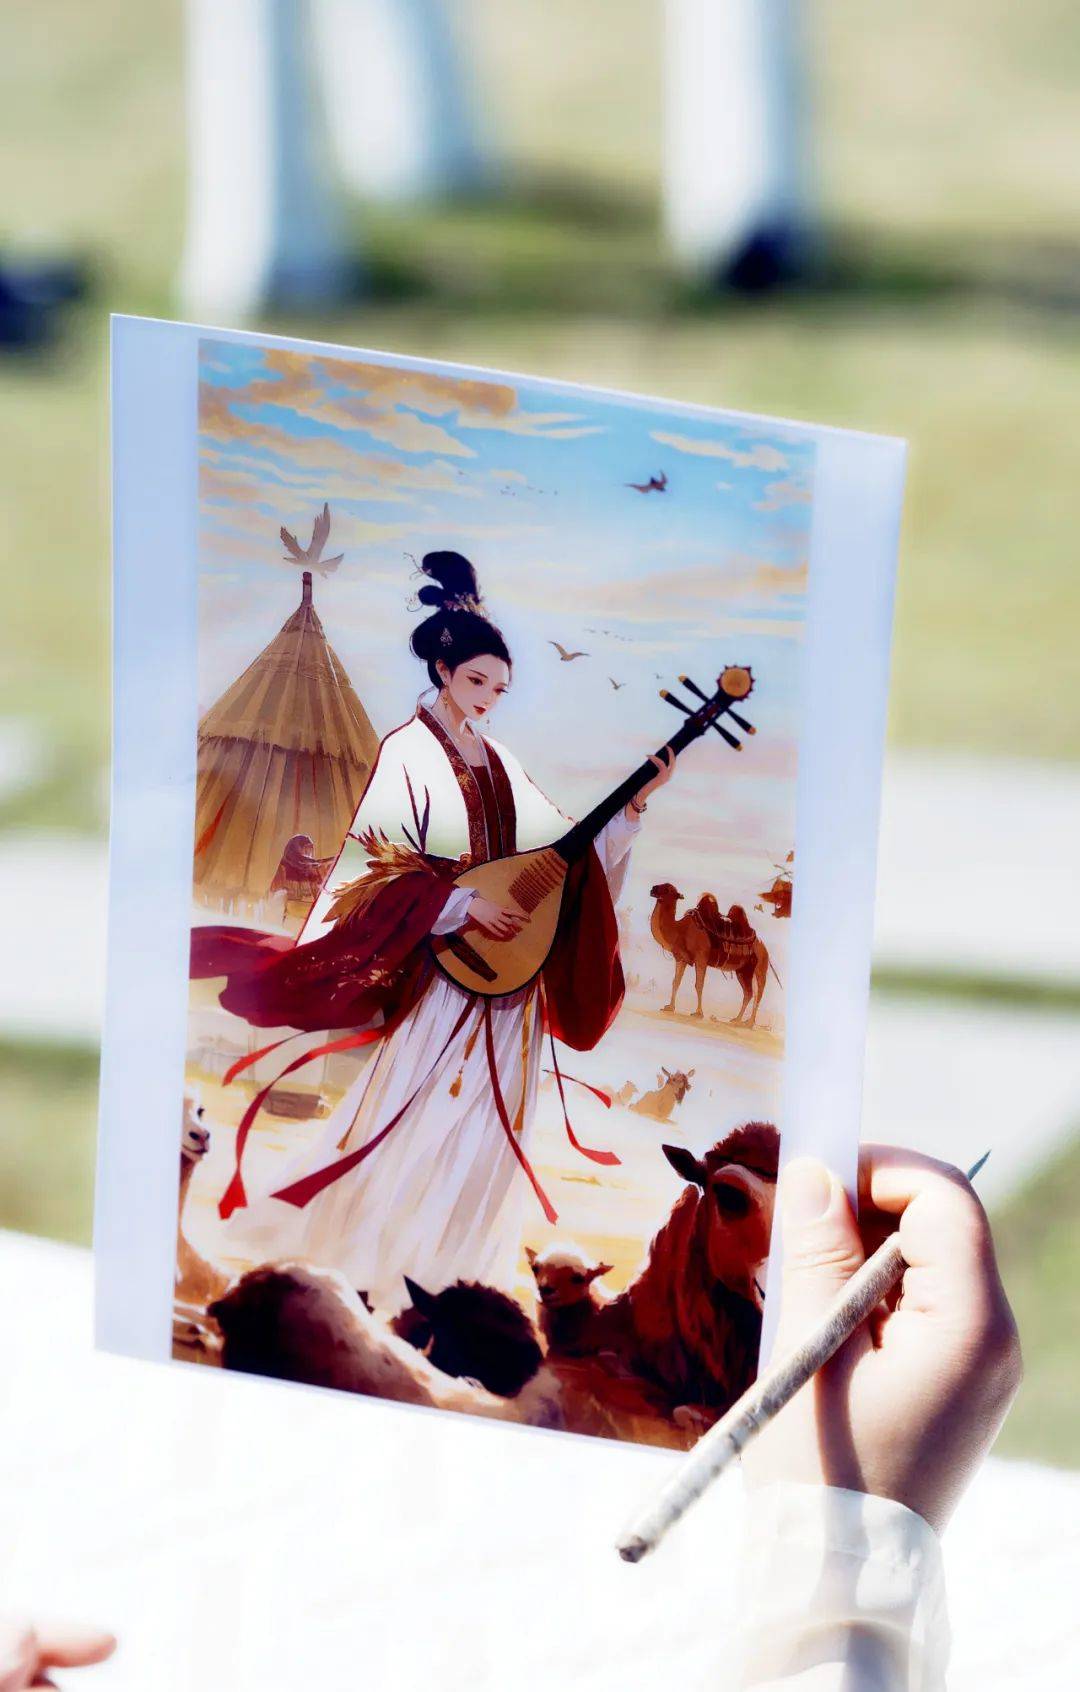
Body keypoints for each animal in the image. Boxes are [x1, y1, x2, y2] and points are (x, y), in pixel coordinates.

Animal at [649, 882, 769, 1027]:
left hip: (759, 966)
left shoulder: (701, 958)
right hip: (742, 970)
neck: (680, 929)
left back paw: (749, 1023)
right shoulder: (681, 958)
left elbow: (699, 985)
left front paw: (698, 1013)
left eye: (667, 889)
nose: (653, 889)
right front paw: (669, 1007)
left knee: (758, 993)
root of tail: (763, 945)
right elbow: (676, 982)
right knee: (749, 993)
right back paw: (737, 1020)